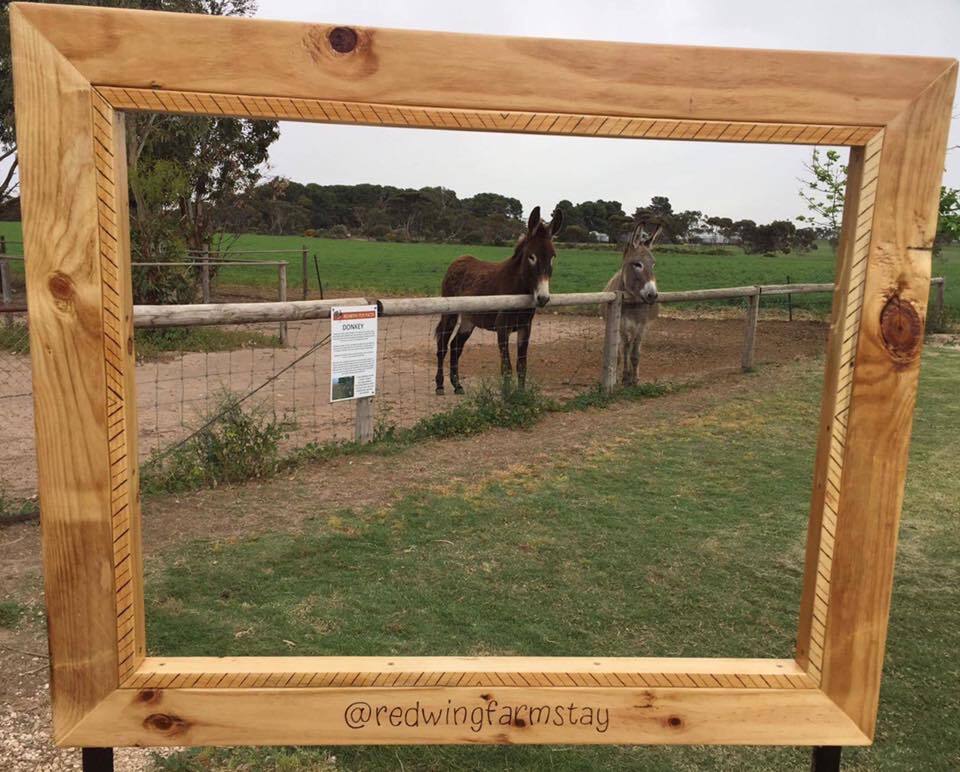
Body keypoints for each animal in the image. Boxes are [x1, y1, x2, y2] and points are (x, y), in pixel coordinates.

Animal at [435, 206, 563, 394]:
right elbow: (506, 367)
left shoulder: (525, 328)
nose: (543, 298)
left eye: (553, 257)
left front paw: (520, 394)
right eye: (531, 257)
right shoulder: (502, 328)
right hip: (450, 314)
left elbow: (521, 365)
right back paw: (440, 385)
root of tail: (460, 259)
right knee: (442, 345)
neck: (518, 289)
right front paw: (506, 395)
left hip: (469, 319)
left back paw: (457, 385)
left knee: (456, 346)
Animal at [602, 222, 661, 386]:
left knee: (633, 348)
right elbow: (621, 353)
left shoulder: (642, 327)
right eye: (637, 264)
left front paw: (634, 381)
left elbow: (635, 354)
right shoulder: (621, 325)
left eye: (653, 265)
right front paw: (620, 378)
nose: (652, 295)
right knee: (626, 347)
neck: (632, 301)